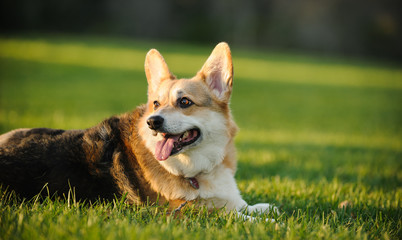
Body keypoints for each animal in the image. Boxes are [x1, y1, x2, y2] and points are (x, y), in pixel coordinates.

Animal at [0, 43, 278, 221]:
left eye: (184, 102)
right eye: (155, 103)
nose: (153, 122)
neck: (195, 169)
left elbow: (247, 206)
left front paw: (263, 208)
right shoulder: (183, 212)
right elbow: (232, 215)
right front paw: (264, 222)